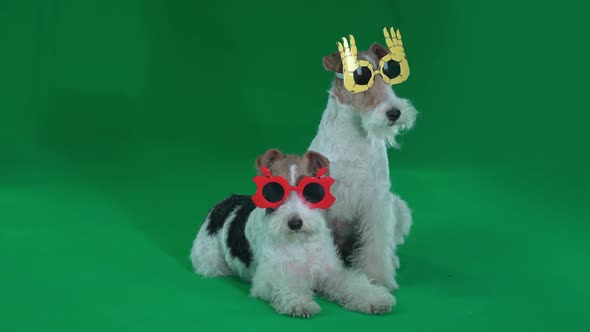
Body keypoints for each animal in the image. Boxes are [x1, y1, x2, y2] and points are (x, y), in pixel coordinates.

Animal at [308, 31, 418, 294]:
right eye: (360, 77)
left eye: (389, 72)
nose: (394, 112)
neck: (354, 136)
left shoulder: (377, 197)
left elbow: (377, 243)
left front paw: (378, 277)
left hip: (398, 207)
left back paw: (392, 260)